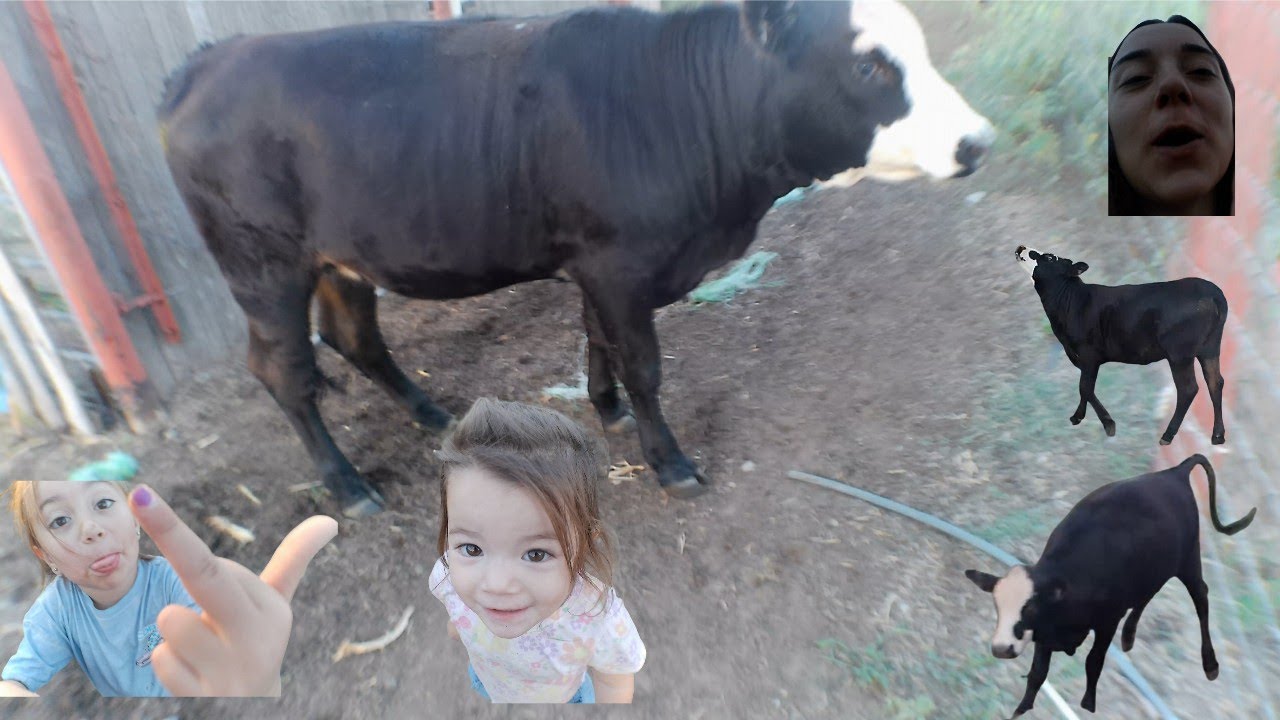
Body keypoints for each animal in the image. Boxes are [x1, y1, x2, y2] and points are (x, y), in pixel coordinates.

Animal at [158, 0, 995, 517]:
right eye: (869, 66)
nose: (978, 140)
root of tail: (209, 59)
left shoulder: (597, 263)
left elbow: (598, 339)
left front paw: (606, 408)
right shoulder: (621, 264)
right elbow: (644, 363)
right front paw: (671, 462)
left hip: (341, 258)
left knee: (355, 337)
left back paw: (431, 413)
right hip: (263, 266)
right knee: (285, 373)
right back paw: (347, 484)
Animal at [965, 454, 1255, 717]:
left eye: (1030, 608)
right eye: (997, 607)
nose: (1001, 648)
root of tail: (1173, 473)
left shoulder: (1106, 622)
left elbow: (1093, 662)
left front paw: (1088, 705)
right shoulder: (1045, 632)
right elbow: (1038, 673)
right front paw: (1021, 709)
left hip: (1188, 559)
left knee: (1201, 597)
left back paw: (1210, 663)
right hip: (1152, 569)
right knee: (1147, 595)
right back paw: (1129, 635)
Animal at [1015, 245, 1228, 447]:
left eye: (1050, 257)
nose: (1021, 247)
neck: (1071, 302)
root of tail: (1214, 293)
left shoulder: (1089, 354)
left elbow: (1085, 387)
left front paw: (1107, 424)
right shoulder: (1082, 358)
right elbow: (1086, 389)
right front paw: (1079, 417)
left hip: (1179, 353)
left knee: (1188, 389)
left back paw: (1167, 435)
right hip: (1210, 347)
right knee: (1215, 382)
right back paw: (1218, 436)